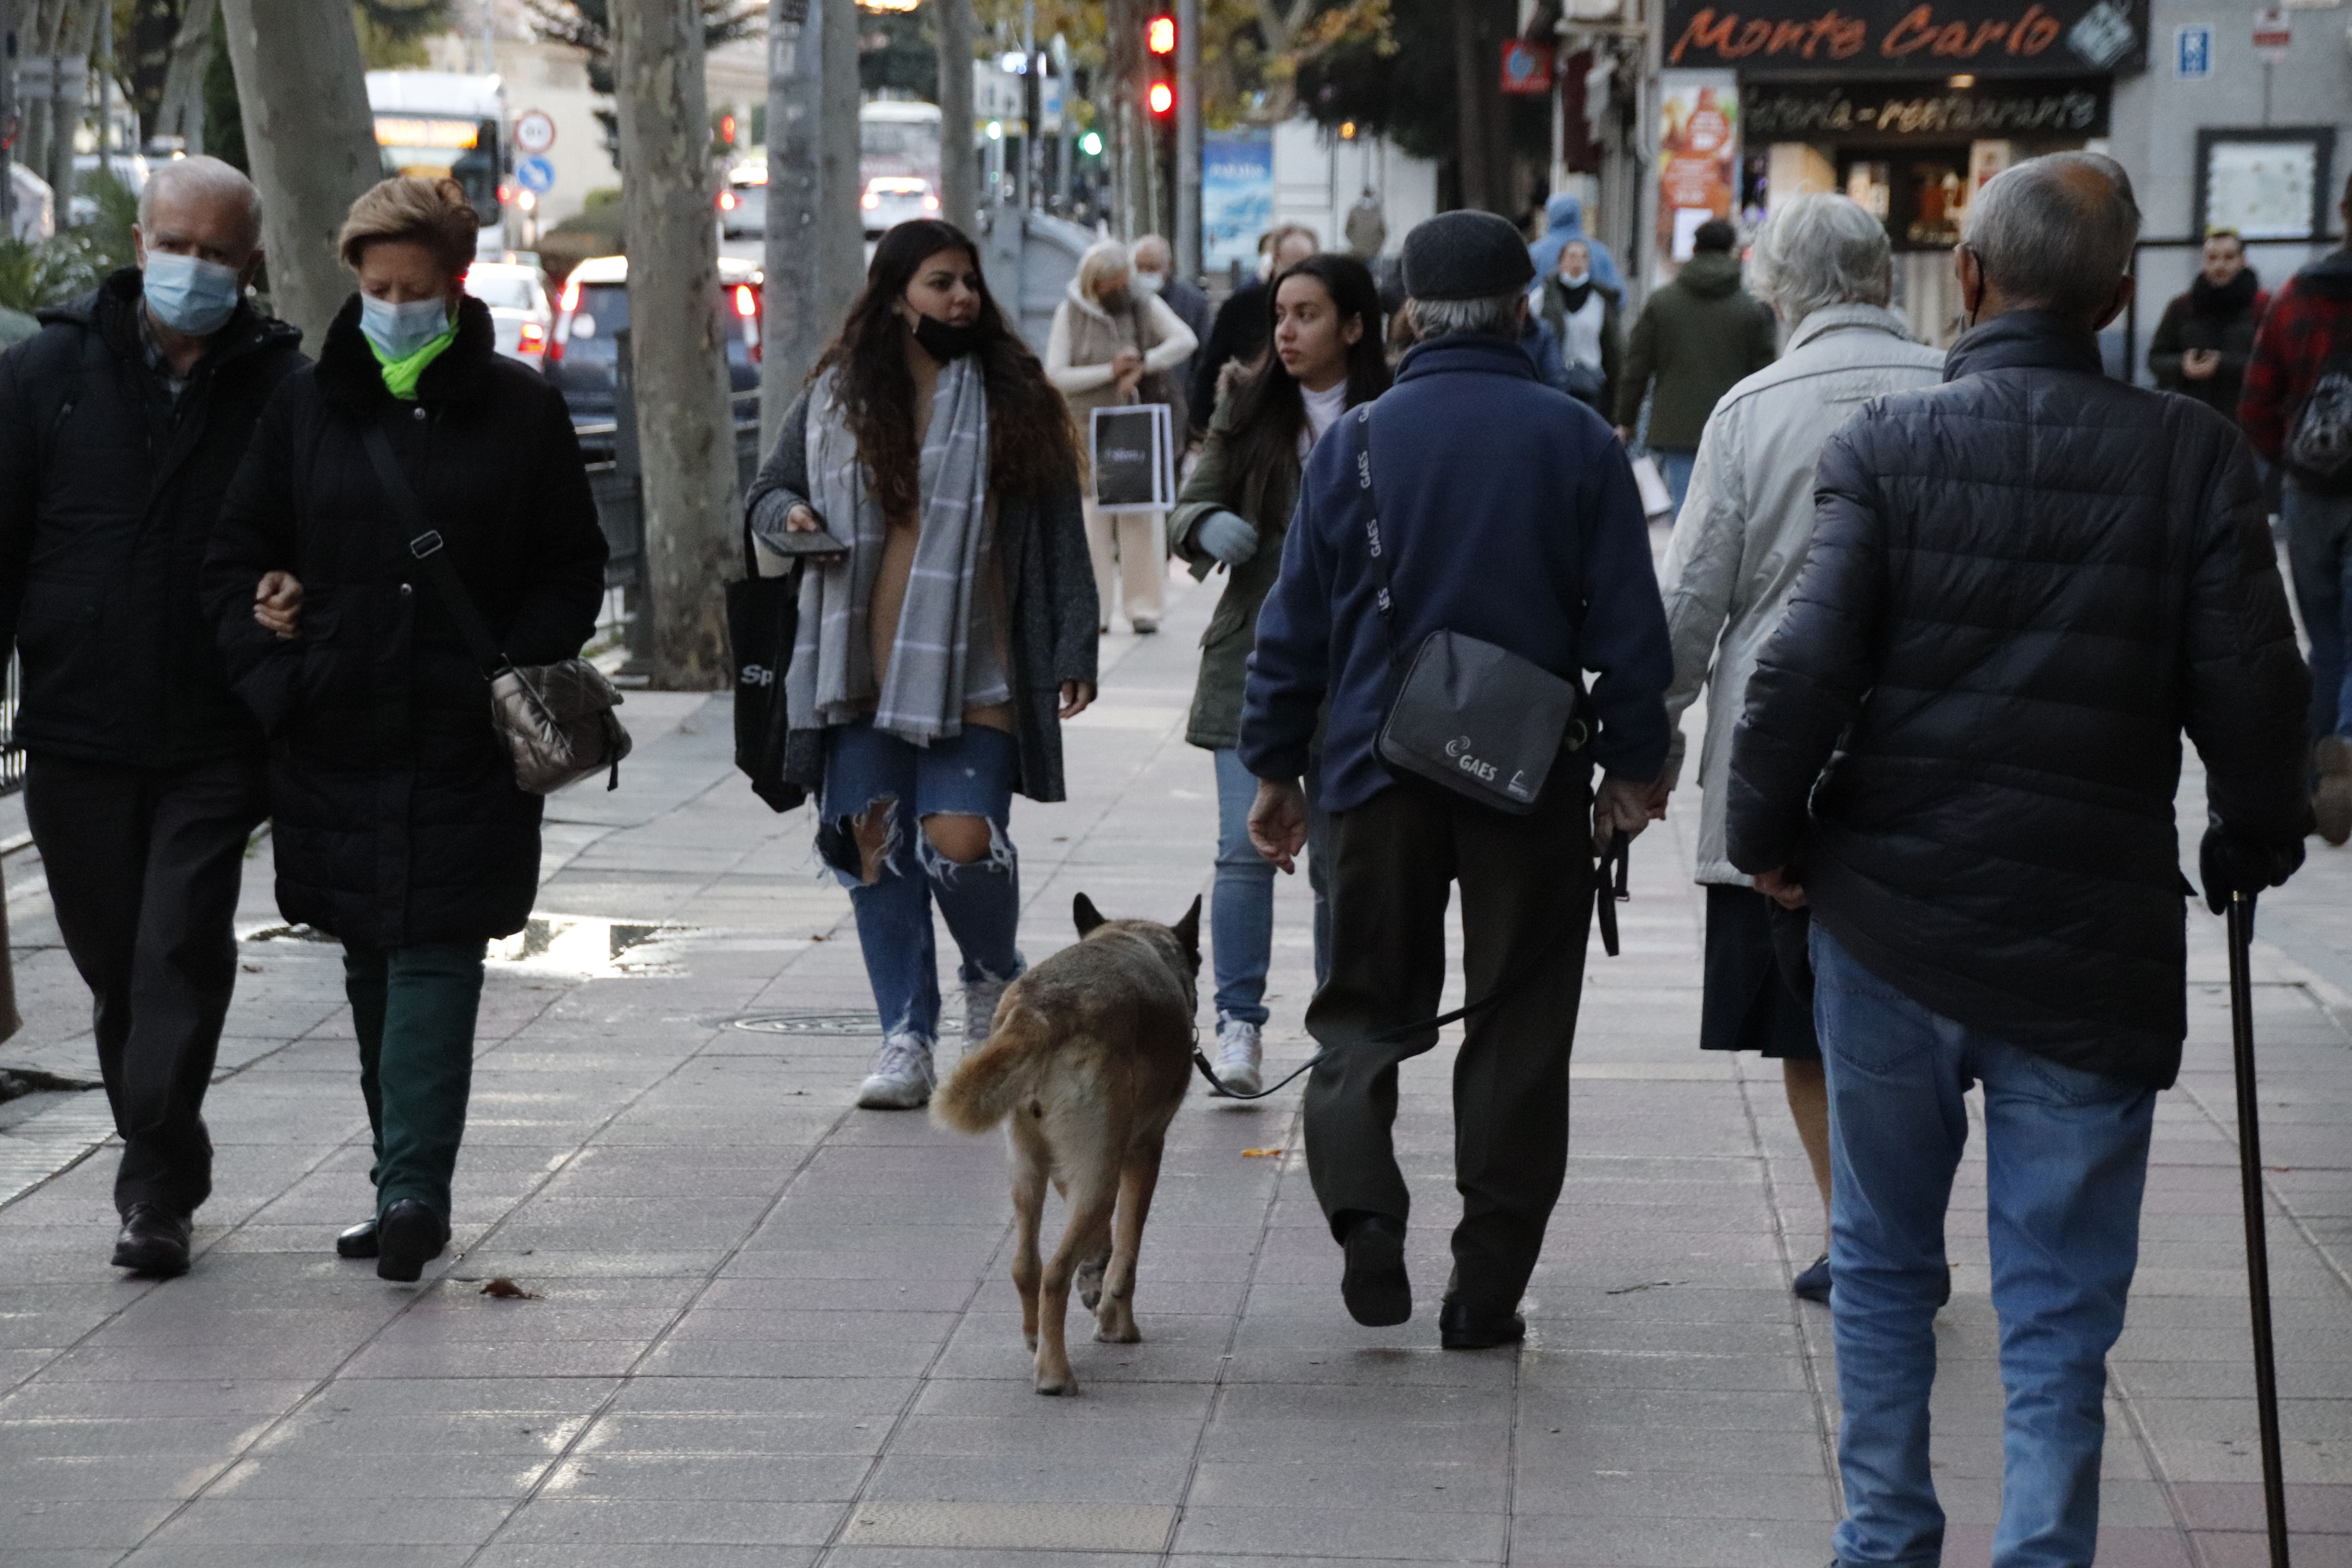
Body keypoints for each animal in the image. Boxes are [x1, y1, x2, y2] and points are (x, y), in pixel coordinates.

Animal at [931, 893, 1204, 1401]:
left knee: (1026, 1266)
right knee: (1055, 1272)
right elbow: (1127, 1255)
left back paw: (1037, 1337)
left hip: (1029, 1169)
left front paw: (1095, 1275)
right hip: (1100, 1175)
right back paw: (1055, 1374)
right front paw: (1118, 1324)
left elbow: (1104, 1243)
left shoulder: (1070, 1165)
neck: (1133, 935)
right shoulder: (1142, 1153)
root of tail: (1040, 1010)